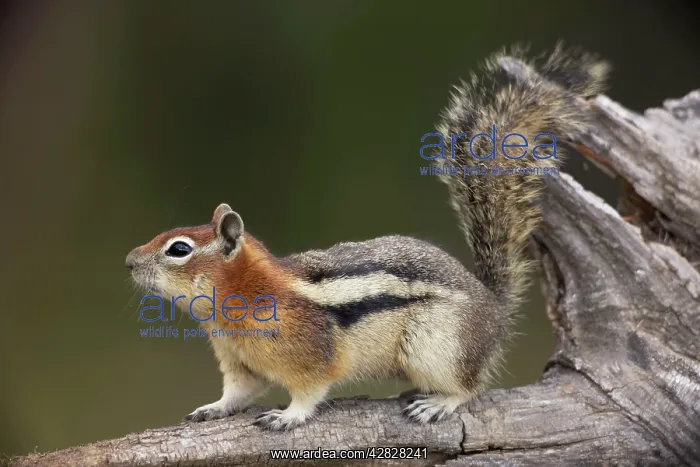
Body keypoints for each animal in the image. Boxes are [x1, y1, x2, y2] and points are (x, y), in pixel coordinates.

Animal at [125, 44, 608, 431]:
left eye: (179, 249)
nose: (128, 261)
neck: (242, 299)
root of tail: (492, 306)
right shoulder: (241, 363)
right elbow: (238, 393)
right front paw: (213, 407)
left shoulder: (310, 357)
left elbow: (310, 391)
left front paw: (289, 416)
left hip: (436, 346)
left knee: (469, 387)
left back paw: (437, 403)